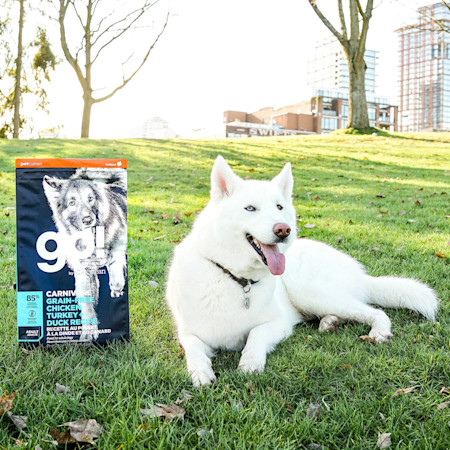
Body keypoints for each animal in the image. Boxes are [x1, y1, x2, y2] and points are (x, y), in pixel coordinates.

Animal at [165, 156, 436, 386]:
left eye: (279, 207)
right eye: (250, 209)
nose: (283, 229)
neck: (236, 279)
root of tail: (359, 273)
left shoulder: (280, 323)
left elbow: (255, 334)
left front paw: (250, 362)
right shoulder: (189, 333)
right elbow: (193, 348)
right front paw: (200, 372)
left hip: (309, 291)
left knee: (376, 312)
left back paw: (377, 331)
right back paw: (329, 322)